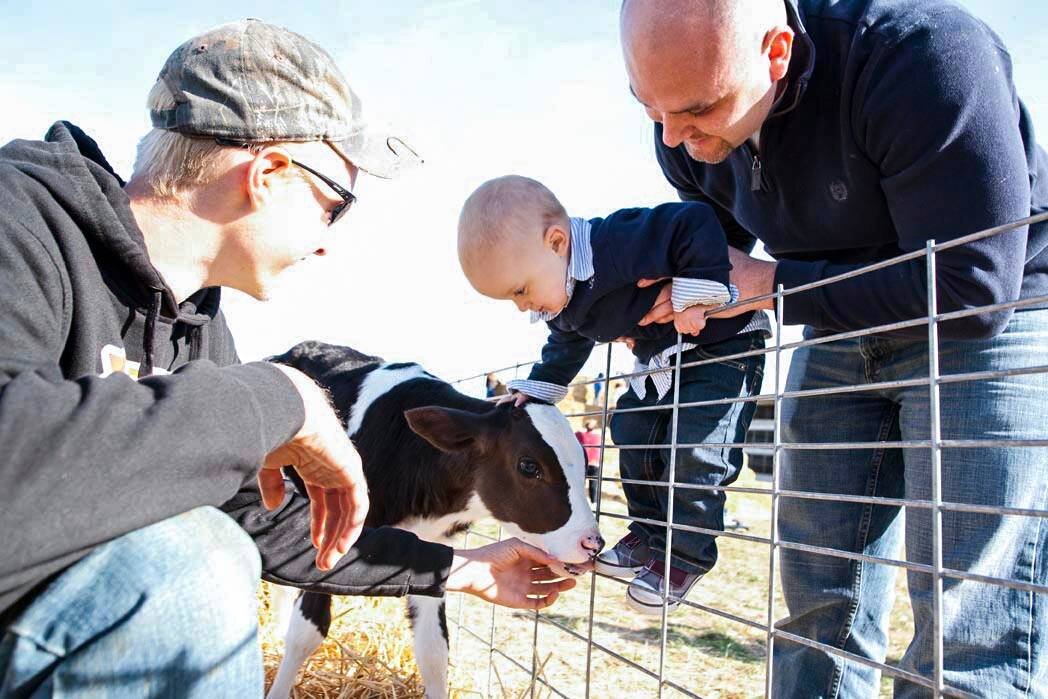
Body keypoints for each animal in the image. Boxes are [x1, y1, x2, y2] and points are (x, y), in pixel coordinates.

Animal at [266, 341, 603, 695]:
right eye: (529, 466)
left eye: (584, 462)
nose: (593, 543)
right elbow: (306, 632)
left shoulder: (428, 552)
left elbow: (434, 650)